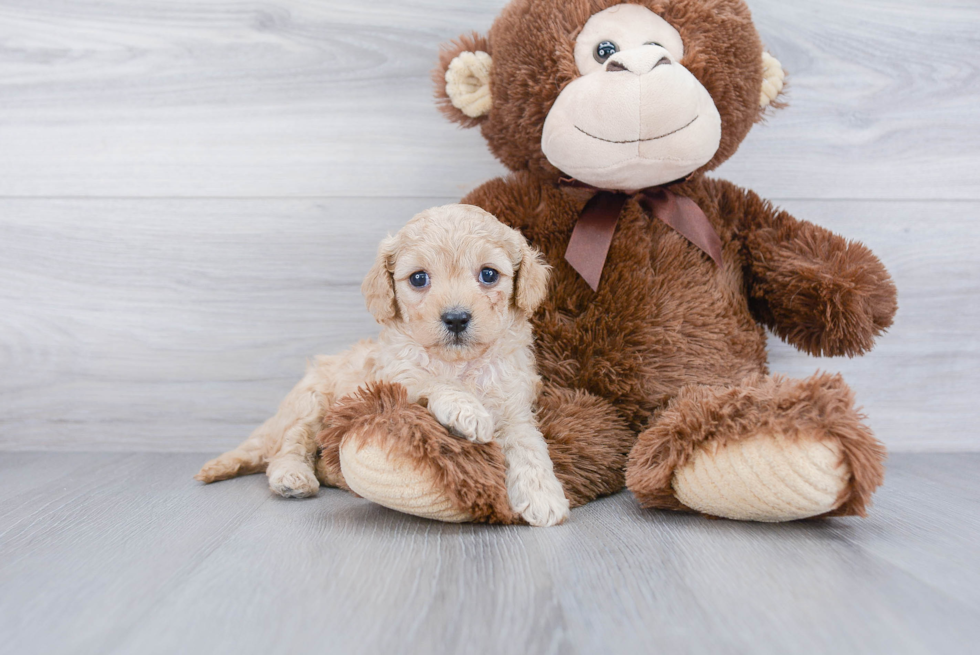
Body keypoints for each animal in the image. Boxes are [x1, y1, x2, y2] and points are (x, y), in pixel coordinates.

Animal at [195, 204, 572, 528]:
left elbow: (528, 444)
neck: (458, 364)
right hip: (311, 400)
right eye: (418, 279)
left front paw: (542, 496)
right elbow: (431, 382)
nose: (455, 318)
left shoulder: (514, 405)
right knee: (290, 445)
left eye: (489, 274)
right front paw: (466, 409)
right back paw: (292, 476)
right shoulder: (396, 379)